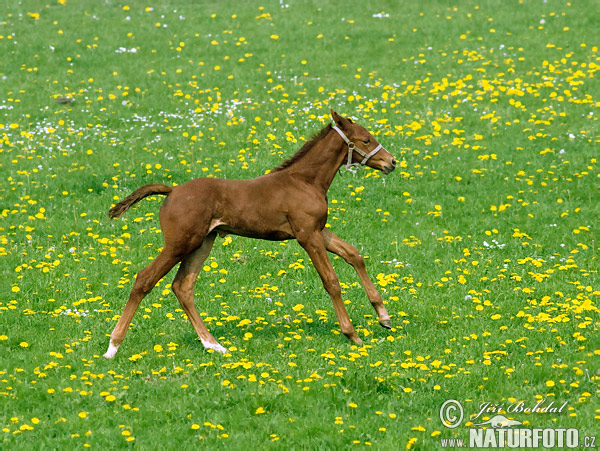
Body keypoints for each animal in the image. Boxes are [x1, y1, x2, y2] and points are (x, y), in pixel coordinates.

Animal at [103, 111, 396, 358]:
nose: (391, 162)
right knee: (144, 280)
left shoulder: (317, 231)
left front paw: (383, 316)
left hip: (202, 244)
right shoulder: (307, 236)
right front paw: (352, 334)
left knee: (182, 287)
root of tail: (172, 191)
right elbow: (331, 280)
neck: (304, 181)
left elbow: (354, 255)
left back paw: (214, 345)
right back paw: (112, 347)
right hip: (180, 243)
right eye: (366, 139)